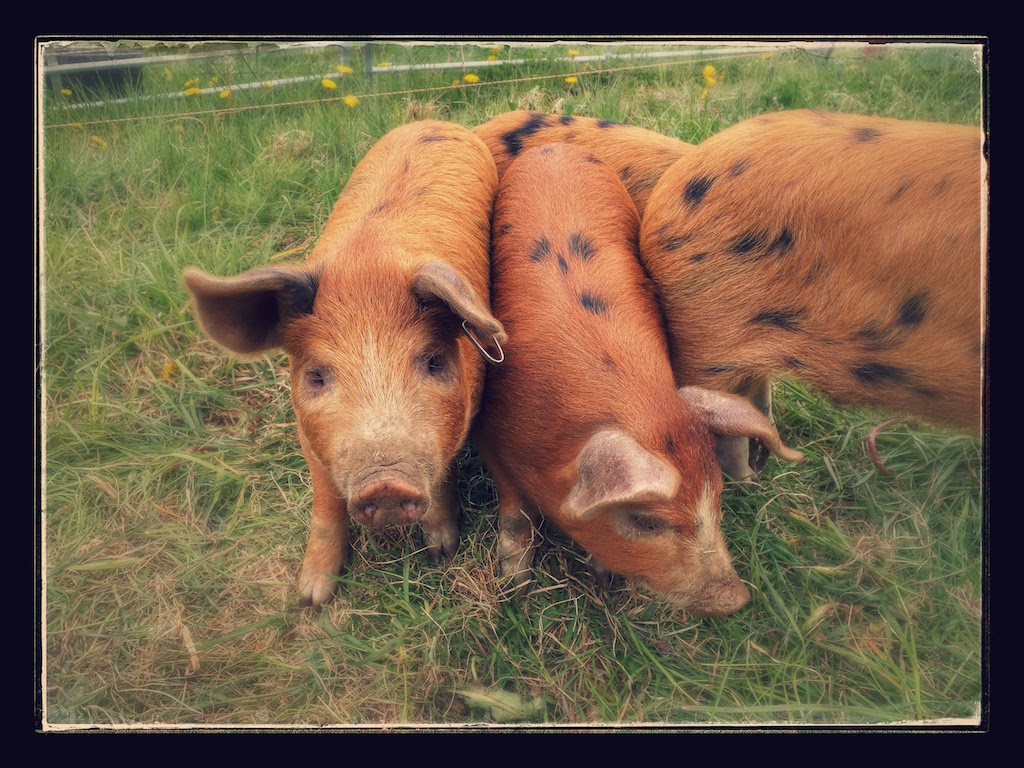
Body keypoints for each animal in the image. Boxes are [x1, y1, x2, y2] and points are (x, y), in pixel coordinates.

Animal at [183, 120, 507, 610]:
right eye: (316, 375)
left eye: (433, 361)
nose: (386, 484)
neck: (365, 266)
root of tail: (431, 122)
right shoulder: (310, 437)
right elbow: (325, 506)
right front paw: (312, 598)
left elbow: (443, 477)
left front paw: (441, 553)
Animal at [475, 141, 802, 618]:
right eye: (646, 520)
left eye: (718, 496)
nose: (735, 599)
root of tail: (555, 147)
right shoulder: (490, 429)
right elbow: (515, 511)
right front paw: (516, 587)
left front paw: (602, 578)